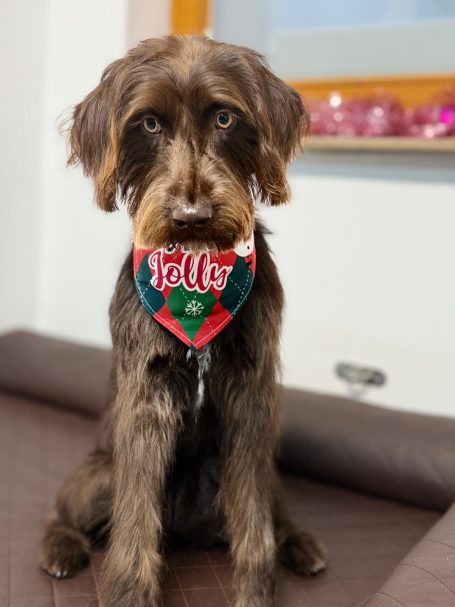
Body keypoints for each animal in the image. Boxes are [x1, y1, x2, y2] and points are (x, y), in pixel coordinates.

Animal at [40, 35, 326, 607]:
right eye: (149, 124)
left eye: (224, 117)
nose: (191, 216)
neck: (196, 275)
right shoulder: (146, 396)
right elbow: (134, 518)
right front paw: (130, 593)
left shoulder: (251, 393)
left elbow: (254, 522)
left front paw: (256, 591)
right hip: (100, 472)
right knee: (62, 514)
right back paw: (60, 549)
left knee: (272, 510)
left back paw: (300, 544)